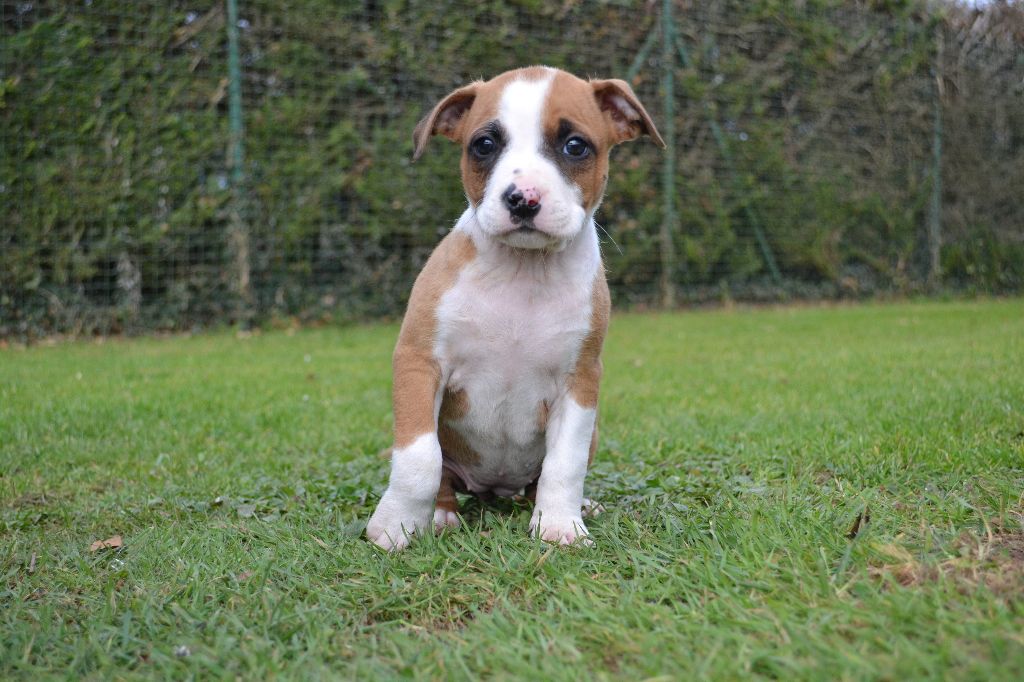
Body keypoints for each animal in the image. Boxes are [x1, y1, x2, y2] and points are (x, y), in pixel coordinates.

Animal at [366, 66, 663, 550]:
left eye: (575, 146)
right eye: (484, 145)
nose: (523, 198)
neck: (524, 271)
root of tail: (496, 489)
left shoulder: (580, 381)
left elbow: (565, 464)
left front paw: (560, 525)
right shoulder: (418, 361)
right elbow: (420, 459)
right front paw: (396, 526)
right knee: (445, 475)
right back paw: (441, 516)